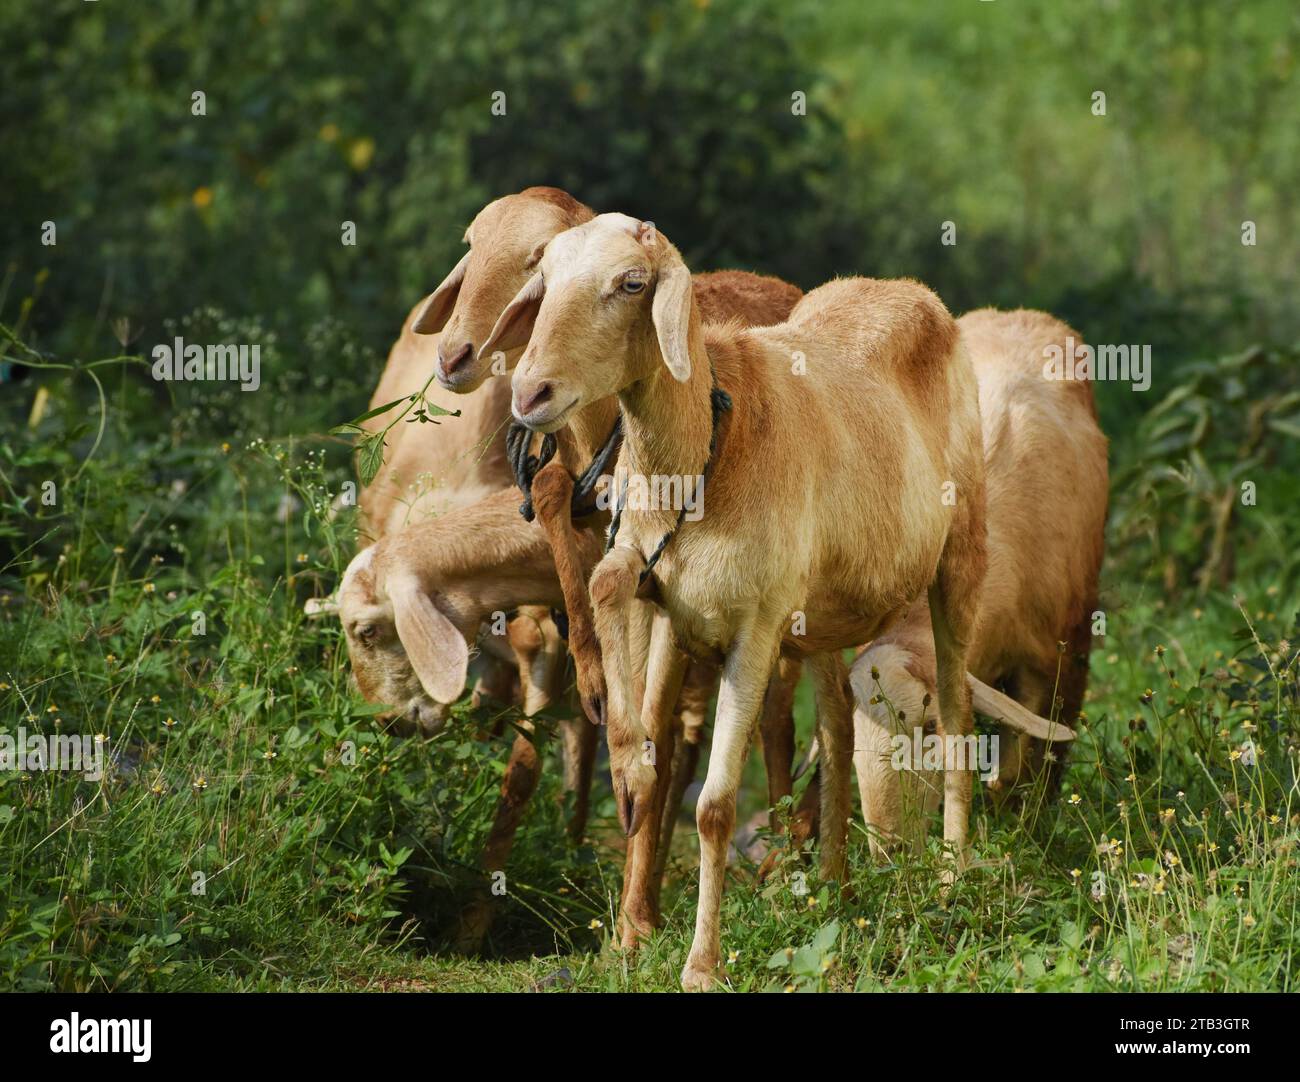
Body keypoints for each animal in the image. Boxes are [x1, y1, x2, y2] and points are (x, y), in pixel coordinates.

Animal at [491, 213, 987, 988]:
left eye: (631, 283)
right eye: (543, 280)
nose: (531, 394)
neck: (701, 448)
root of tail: (909, 289)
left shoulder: (755, 628)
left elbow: (715, 806)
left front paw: (701, 963)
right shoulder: (656, 589)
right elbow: (609, 599)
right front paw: (630, 785)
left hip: (960, 557)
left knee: (960, 717)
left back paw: (951, 880)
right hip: (824, 610)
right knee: (838, 729)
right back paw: (834, 887)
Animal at [852, 308, 1107, 858]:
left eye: (929, 727)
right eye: (855, 730)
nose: (888, 848)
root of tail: (1018, 315)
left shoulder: (1047, 662)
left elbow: (1017, 772)